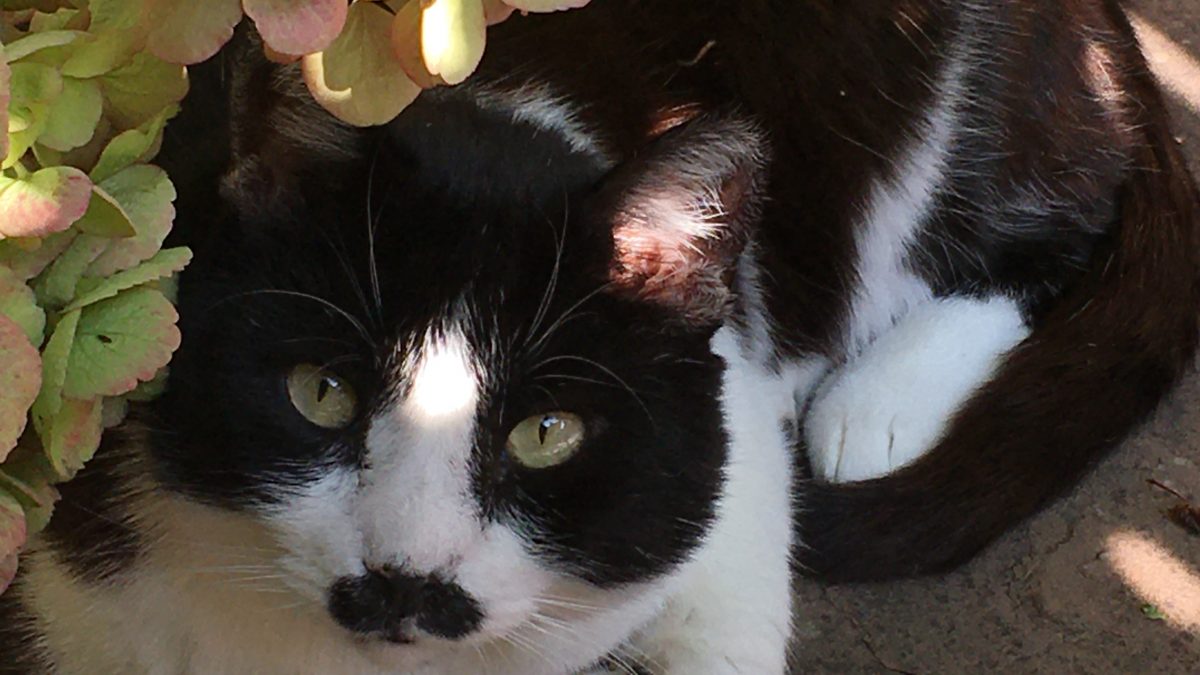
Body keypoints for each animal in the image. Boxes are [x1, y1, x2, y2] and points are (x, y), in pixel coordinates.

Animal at [2, 0, 1200, 667]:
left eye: (546, 432)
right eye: (320, 392)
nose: (405, 582)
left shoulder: (726, 449)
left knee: (1051, 220)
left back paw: (878, 404)